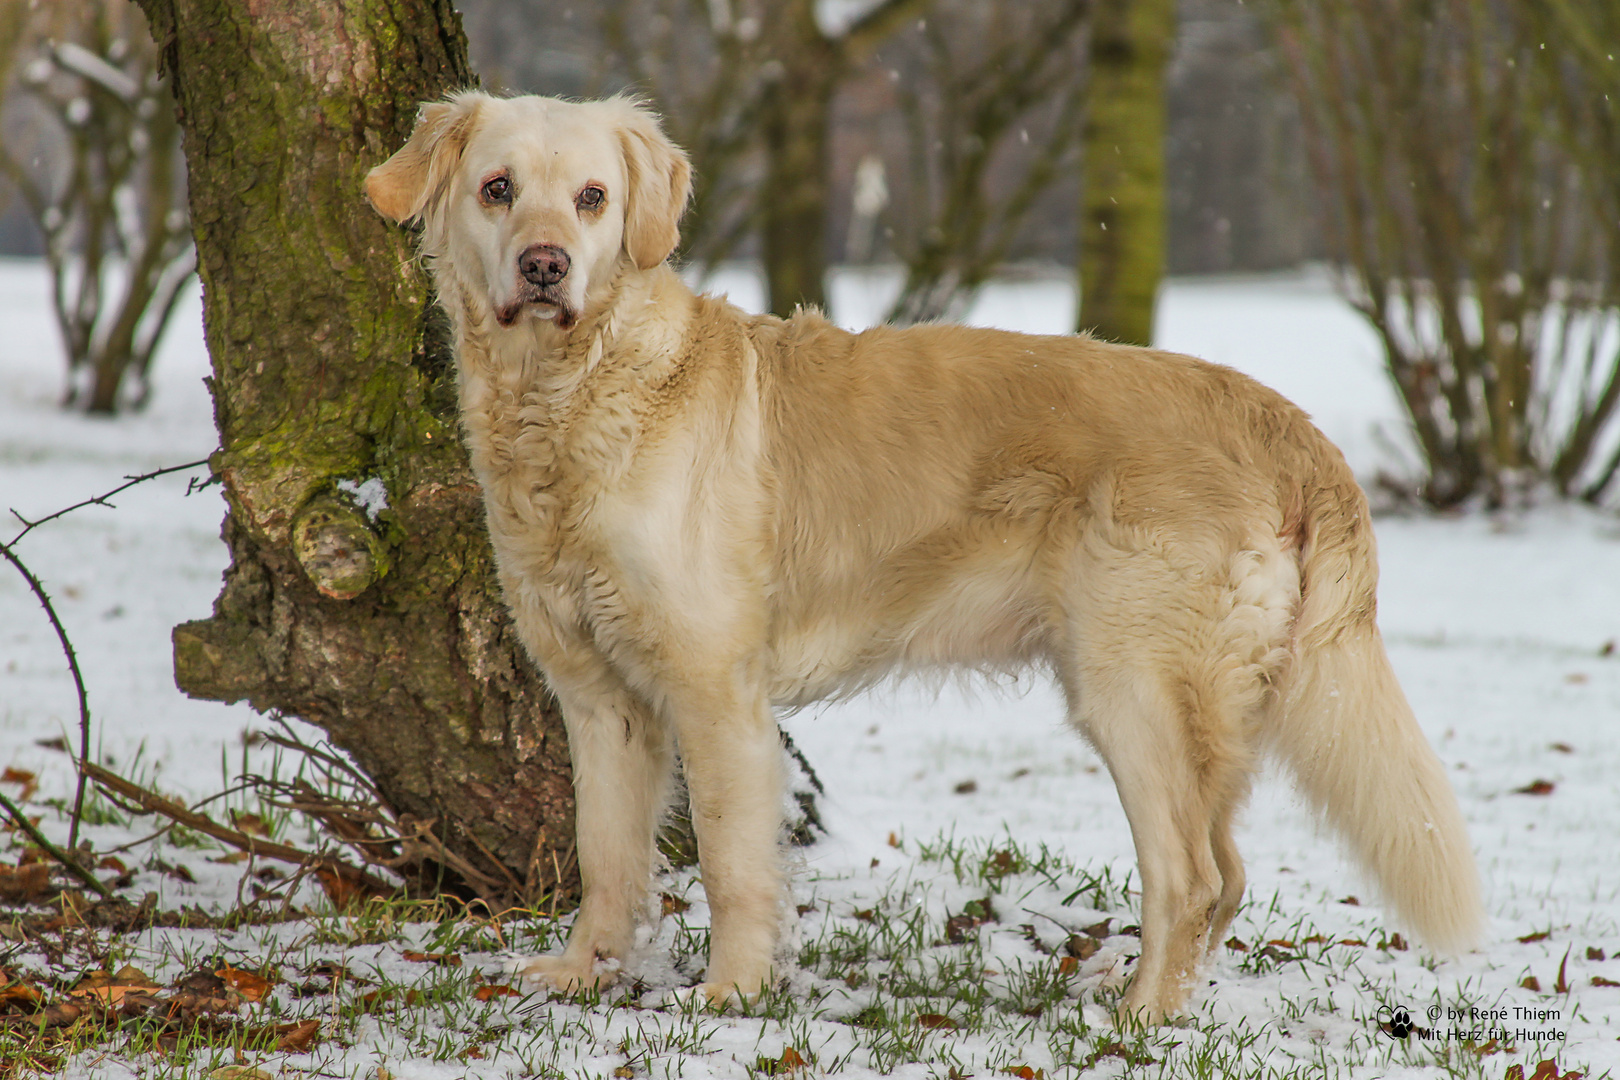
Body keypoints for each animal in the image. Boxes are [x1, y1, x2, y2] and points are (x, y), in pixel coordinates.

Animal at [367, 93, 1483, 1023]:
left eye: (593, 199)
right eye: (498, 189)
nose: (545, 265)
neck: (572, 392)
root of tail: (1277, 417)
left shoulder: (716, 691)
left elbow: (730, 862)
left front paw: (729, 992)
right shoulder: (601, 698)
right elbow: (605, 855)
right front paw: (582, 970)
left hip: (1132, 685)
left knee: (1193, 876)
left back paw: (1141, 1017)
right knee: (1229, 869)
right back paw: (1154, 994)